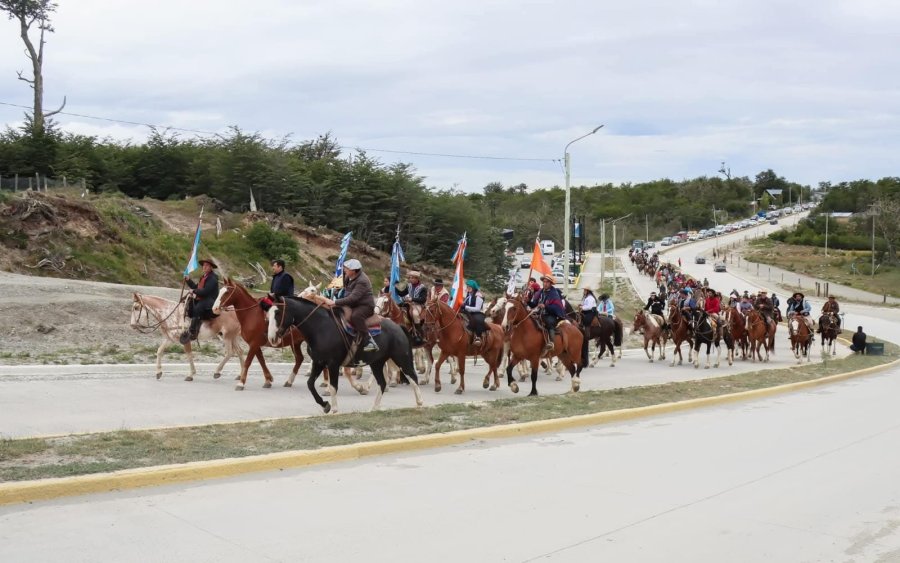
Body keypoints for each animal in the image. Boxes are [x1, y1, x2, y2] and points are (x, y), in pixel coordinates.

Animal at [266, 296, 423, 414]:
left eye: (278, 312)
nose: (272, 338)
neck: (321, 327)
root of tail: (398, 327)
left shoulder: (333, 364)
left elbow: (333, 386)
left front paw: (334, 409)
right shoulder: (318, 362)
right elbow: (310, 384)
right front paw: (325, 405)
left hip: (402, 358)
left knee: (412, 377)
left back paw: (419, 403)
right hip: (377, 363)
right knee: (382, 383)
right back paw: (374, 407)